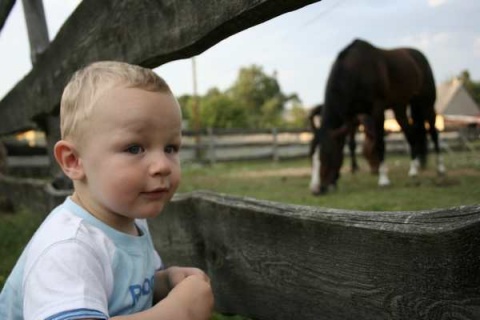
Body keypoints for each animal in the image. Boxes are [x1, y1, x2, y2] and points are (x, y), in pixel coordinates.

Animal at [312, 39, 446, 195]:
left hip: (427, 104)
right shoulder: (350, 117)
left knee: (433, 133)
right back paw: (414, 170)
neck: (355, 70)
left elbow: (380, 142)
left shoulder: (377, 109)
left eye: (326, 155)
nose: (316, 190)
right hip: (400, 107)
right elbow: (349, 144)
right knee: (411, 135)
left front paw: (383, 180)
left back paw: (440, 169)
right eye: (312, 158)